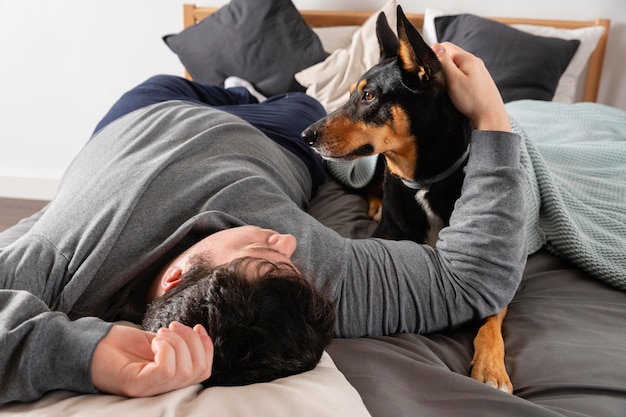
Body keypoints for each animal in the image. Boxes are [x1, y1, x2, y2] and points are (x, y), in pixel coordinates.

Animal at [302, 4, 512, 392]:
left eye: (369, 96)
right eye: (352, 93)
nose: (305, 135)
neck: (423, 181)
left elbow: (491, 319)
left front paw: (491, 367)